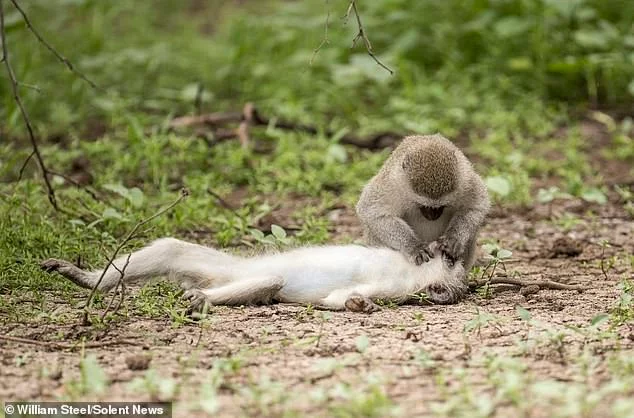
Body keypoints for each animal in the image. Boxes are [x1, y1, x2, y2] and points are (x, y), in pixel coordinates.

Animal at [356, 136, 488, 280]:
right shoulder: (390, 184)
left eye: (443, 205)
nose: (433, 216)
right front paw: (413, 246)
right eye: (423, 205)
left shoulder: (466, 180)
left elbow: (477, 206)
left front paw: (454, 238)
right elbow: (372, 212)